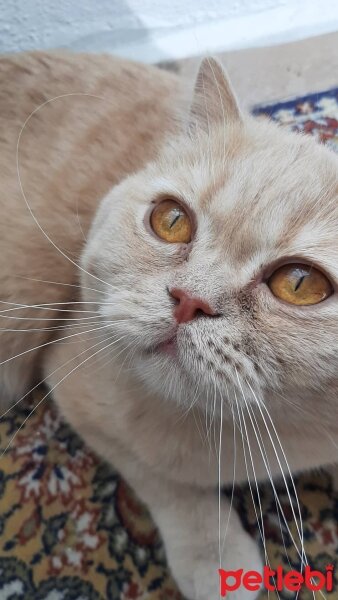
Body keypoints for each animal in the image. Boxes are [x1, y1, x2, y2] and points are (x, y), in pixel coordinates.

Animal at [0, 52, 338, 600]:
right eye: (171, 220)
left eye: (300, 283)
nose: (189, 300)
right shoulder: (77, 387)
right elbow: (166, 482)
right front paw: (213, 556)